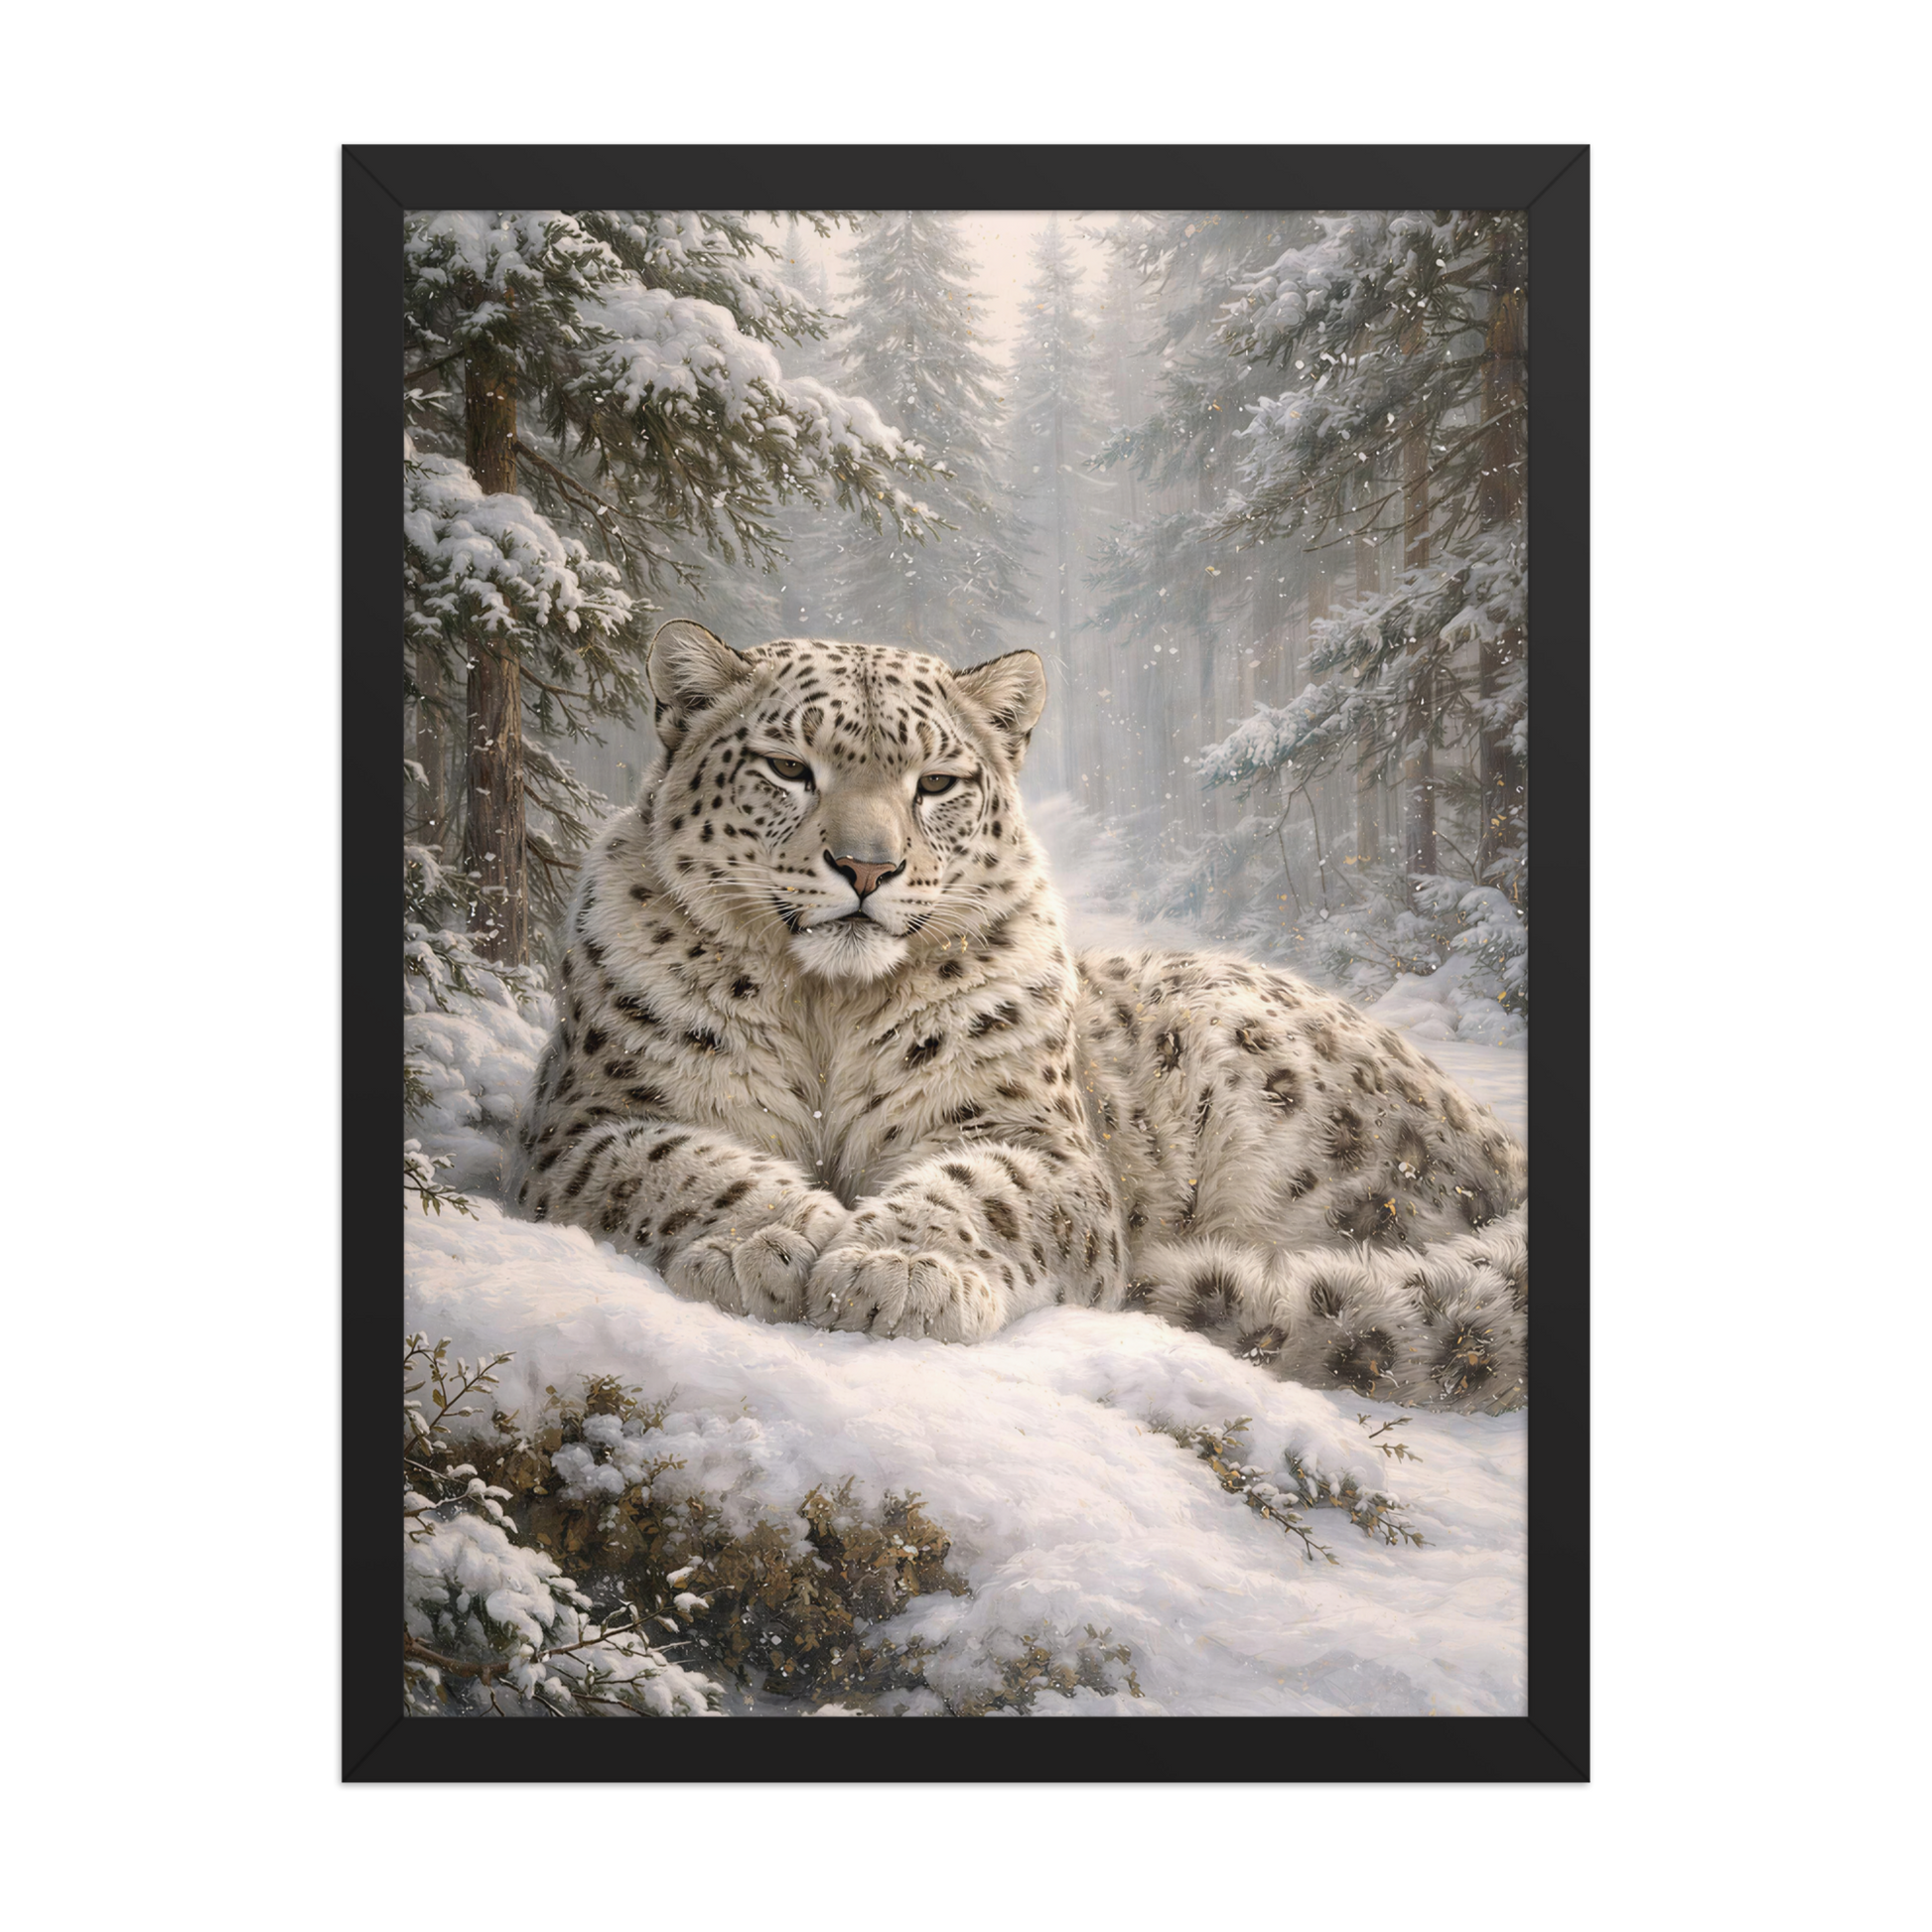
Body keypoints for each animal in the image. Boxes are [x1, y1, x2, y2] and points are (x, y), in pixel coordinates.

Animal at [505, 621, 1529, 1414]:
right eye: (789, 766)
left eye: (937, 782)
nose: (867, 866)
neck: (828, 1007)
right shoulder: (589, 1121)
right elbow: (681, 1164)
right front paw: (765, 1244)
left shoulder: (1035, 1139)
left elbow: (980, 1189)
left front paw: (896, 1269)